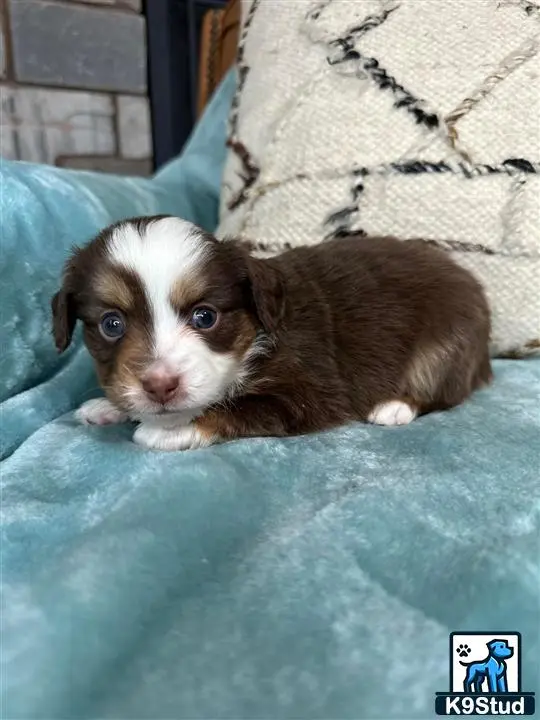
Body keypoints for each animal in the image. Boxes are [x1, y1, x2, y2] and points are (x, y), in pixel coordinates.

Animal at [51, 215, 494, 450]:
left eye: (205, 317)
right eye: (112, 324)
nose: (159, 386)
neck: (254, 337)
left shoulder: (311, 392)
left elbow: (237, 407)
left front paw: (169, 429)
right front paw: (110, 407)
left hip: (448, 344)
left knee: (441, 390)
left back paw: (394, 406)